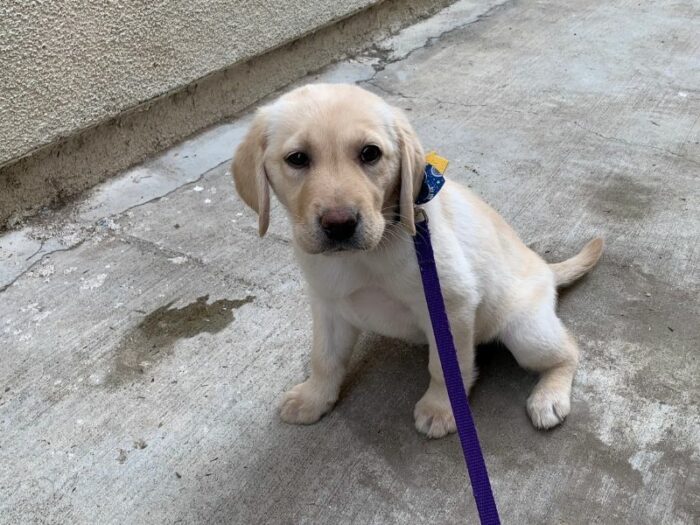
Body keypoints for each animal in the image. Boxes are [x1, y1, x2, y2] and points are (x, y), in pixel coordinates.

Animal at [231, 84, 600, 438]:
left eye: (370, 153)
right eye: (297, 159)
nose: (340, 224)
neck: (365, 255)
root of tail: (545, 268)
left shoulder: (450, 305)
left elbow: (446, 367)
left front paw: (440, 408)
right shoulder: (328, 306)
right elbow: (324, 358)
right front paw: (314, 398)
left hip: (526, 332)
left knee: (569, 350)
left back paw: (549, 397)